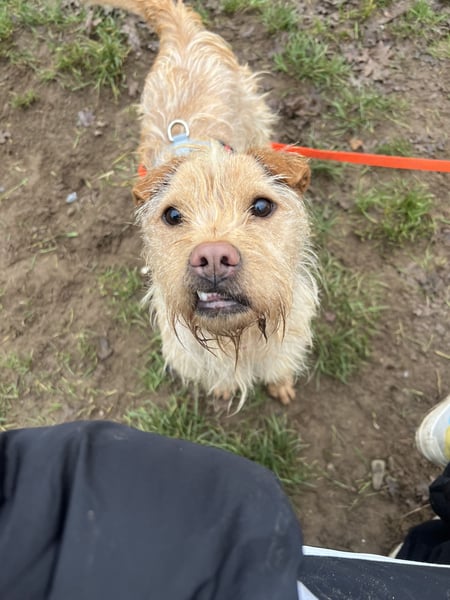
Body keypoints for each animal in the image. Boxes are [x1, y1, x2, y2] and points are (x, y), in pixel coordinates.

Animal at [88, 0, 318, 410]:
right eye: (172, 214)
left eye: (262, 207)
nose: (212, 257)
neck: (239, 338)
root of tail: (182, 33)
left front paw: (281, 383)